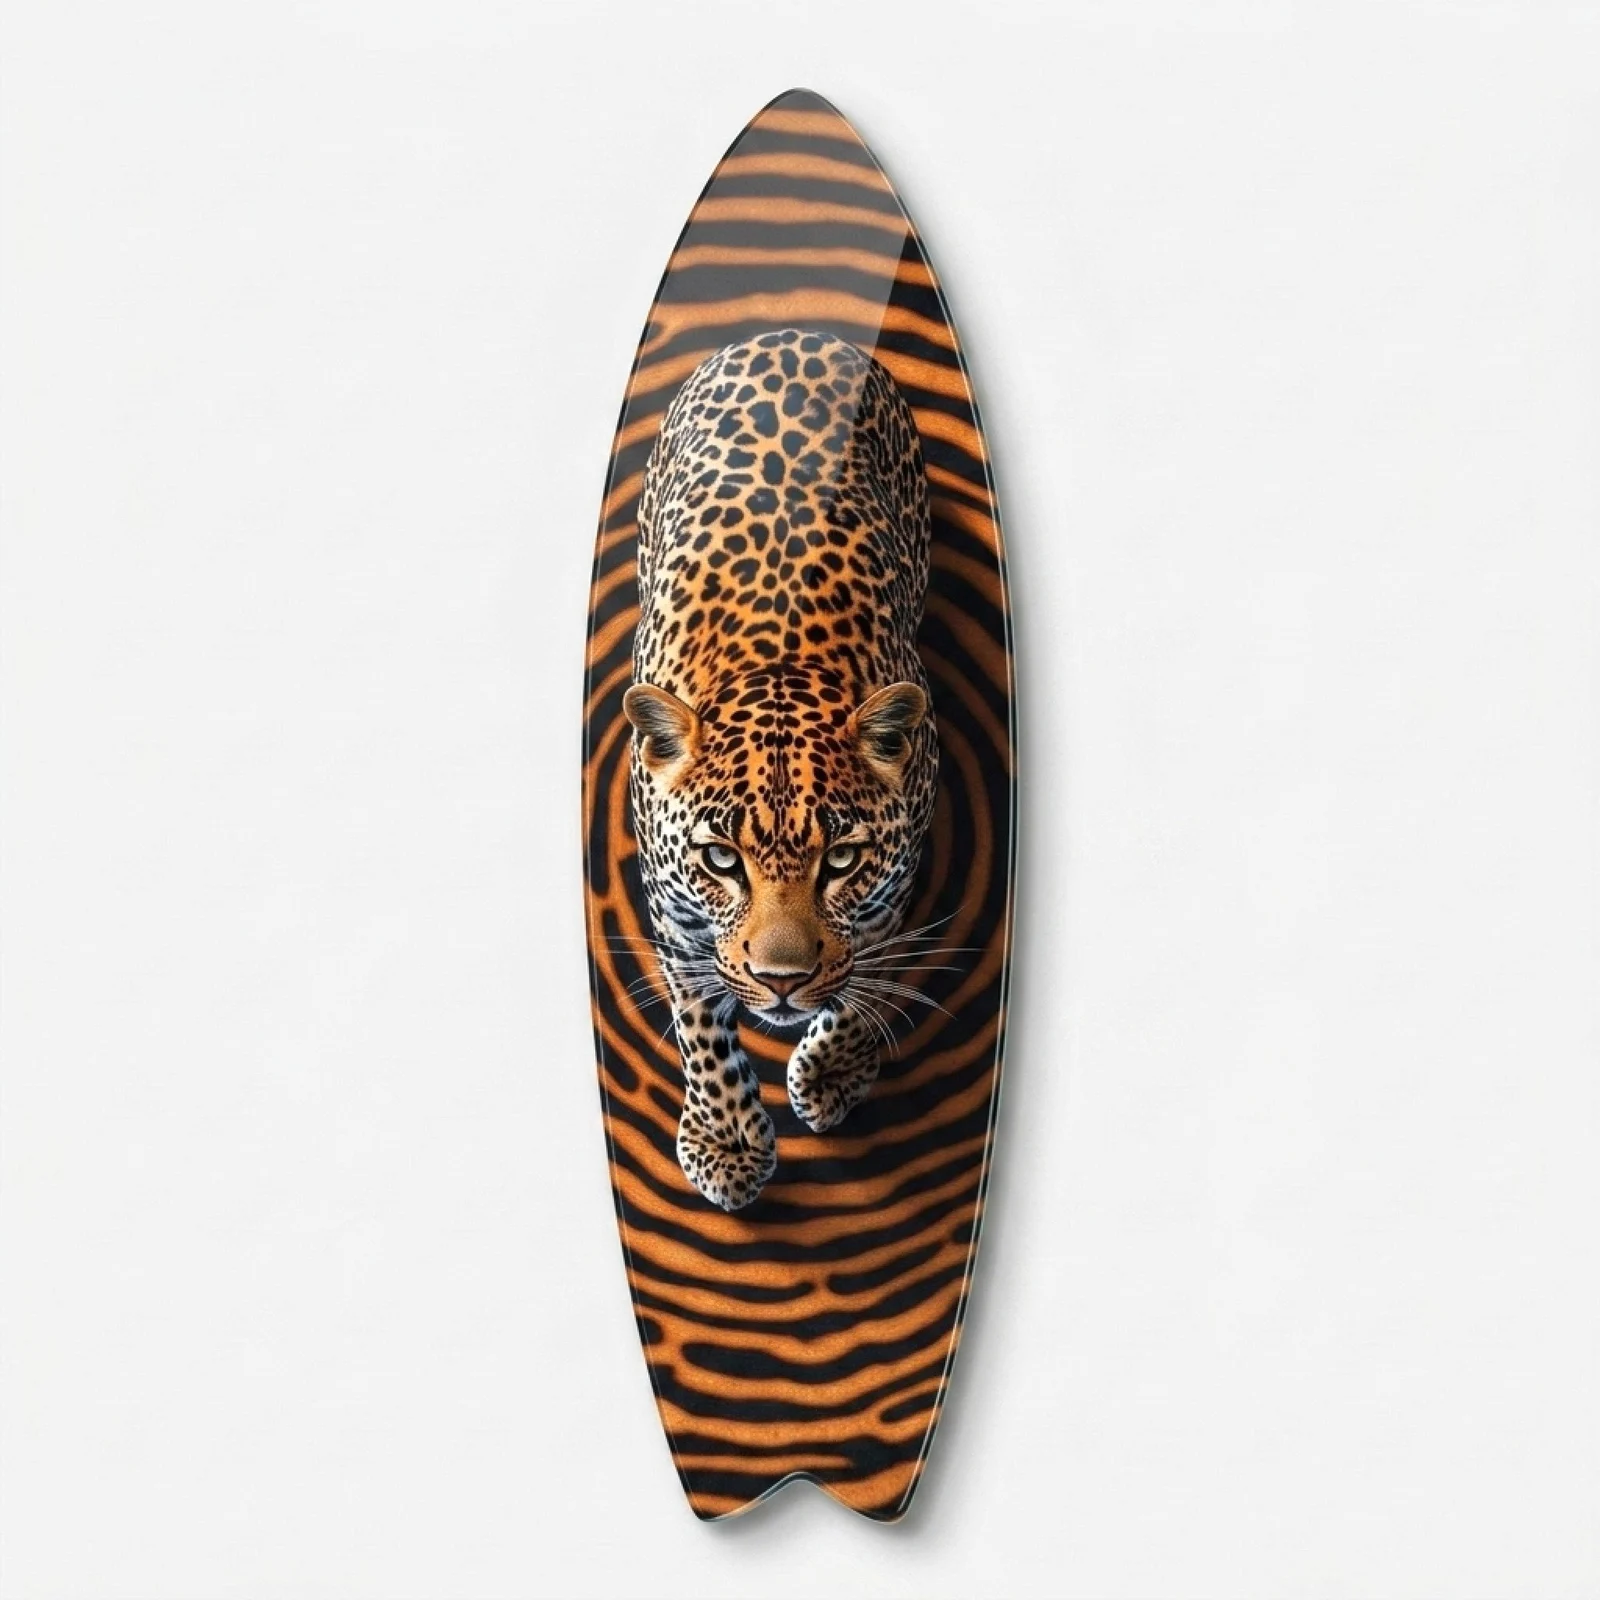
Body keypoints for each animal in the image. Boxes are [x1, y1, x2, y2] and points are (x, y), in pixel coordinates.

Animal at [623, 328, 939, 1211]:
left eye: (842, 860)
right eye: (721, 860)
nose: (783, 983)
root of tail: (793, 332)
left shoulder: (899, 869)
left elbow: (873, 962)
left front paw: (832, 1070)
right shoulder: (676, 916)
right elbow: (701, 1020)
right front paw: (727, 1144)